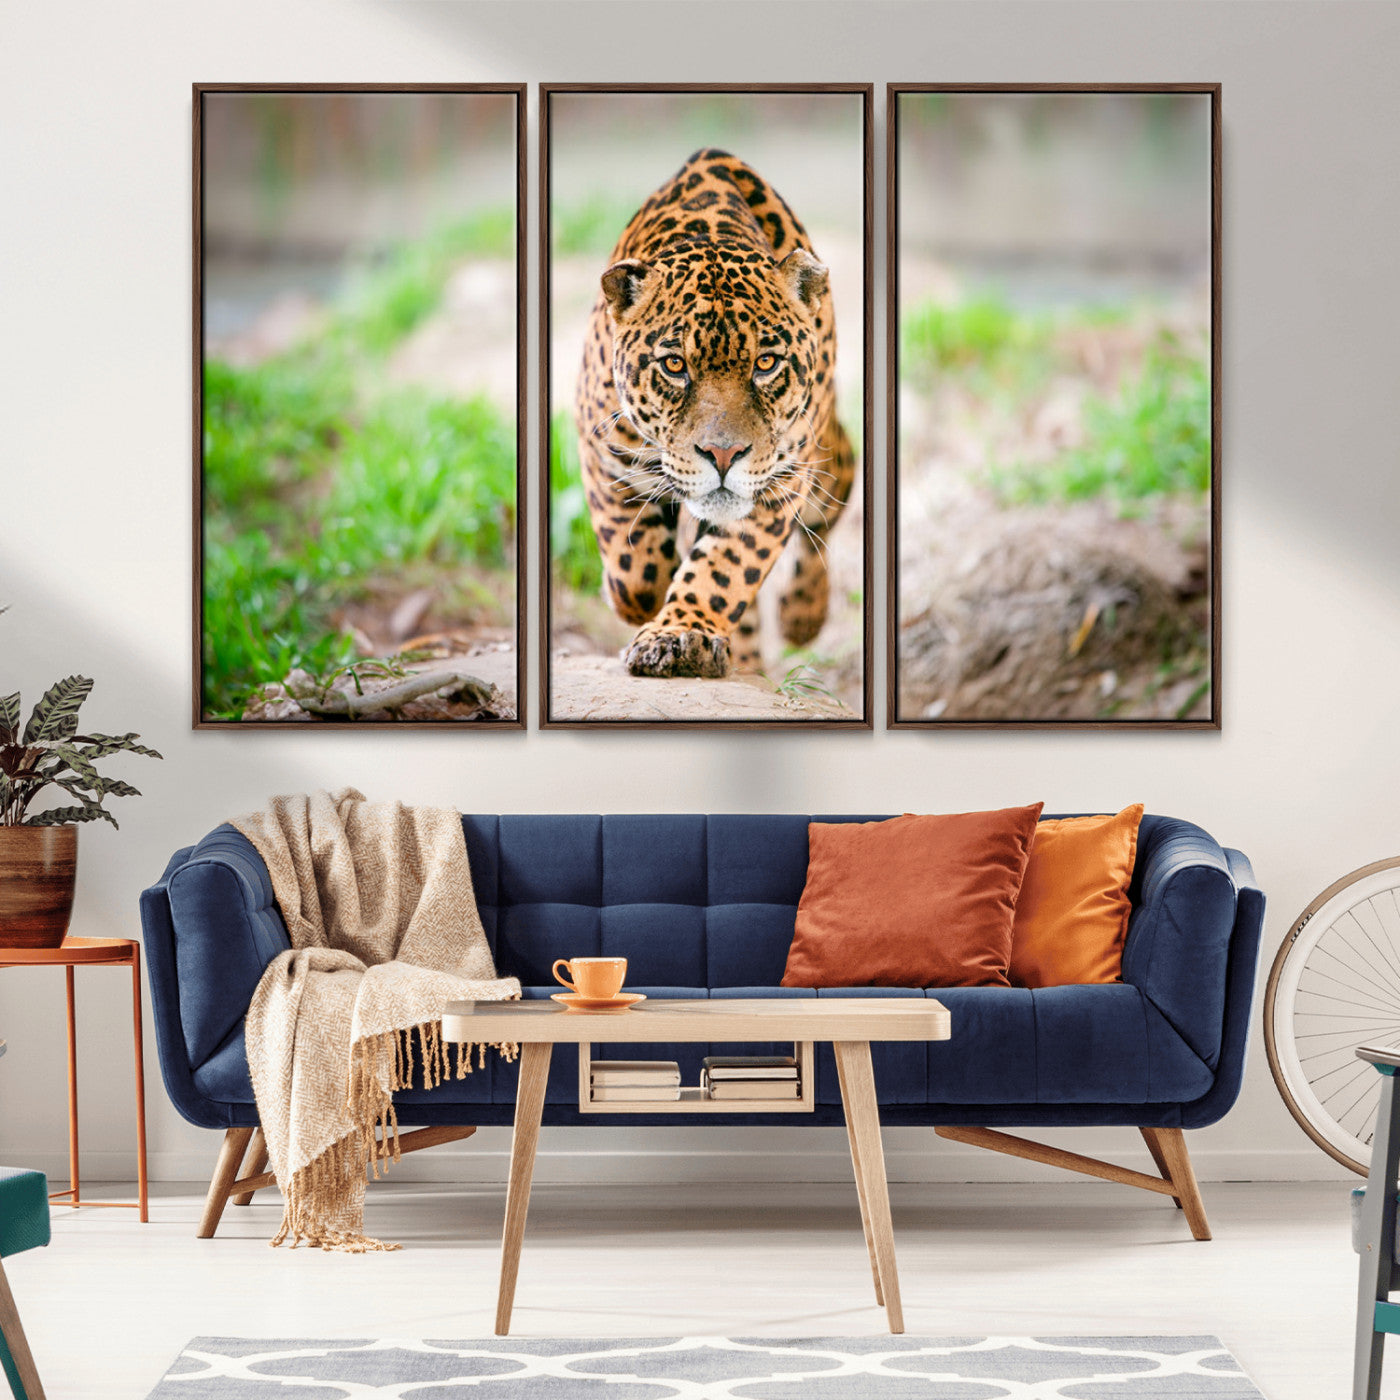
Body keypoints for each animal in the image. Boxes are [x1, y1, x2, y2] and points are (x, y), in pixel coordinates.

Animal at [572, 147, 857, 680]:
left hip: (826, 458)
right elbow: (633, 568)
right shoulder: (602, 449)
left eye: (766, 364)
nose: (723, 455)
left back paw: (802, 616)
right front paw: (643, 603)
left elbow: (724, 569)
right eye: (674, 366)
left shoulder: (779, 482)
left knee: (829, 508)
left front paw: (681, 634)